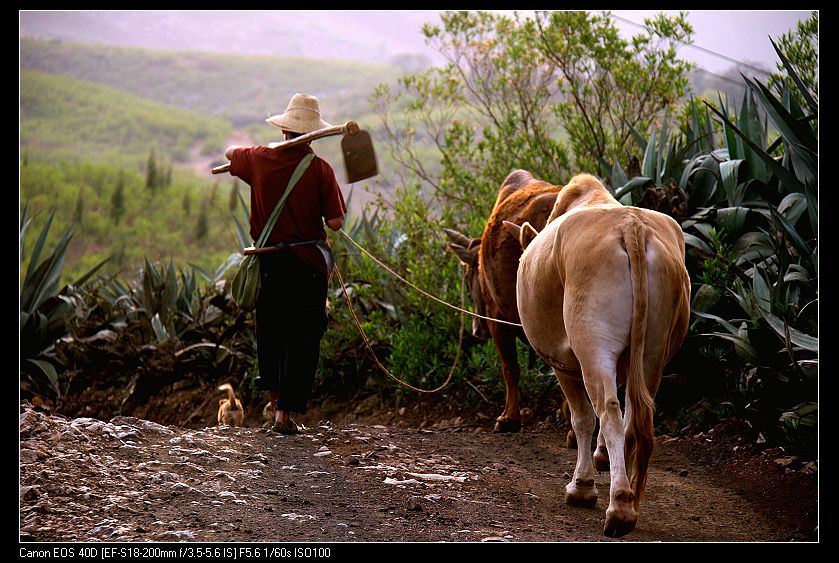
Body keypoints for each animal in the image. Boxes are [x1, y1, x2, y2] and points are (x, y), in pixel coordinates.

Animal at [506, 173, 688, 536]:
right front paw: (602, 457)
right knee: (633, 414)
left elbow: (582, 418)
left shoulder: (563, 363)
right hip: (653, 350)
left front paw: (583, 486)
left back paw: (618, 506)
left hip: (592, 342)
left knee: (608, 409)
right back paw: (629, 494)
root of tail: (631, 226)